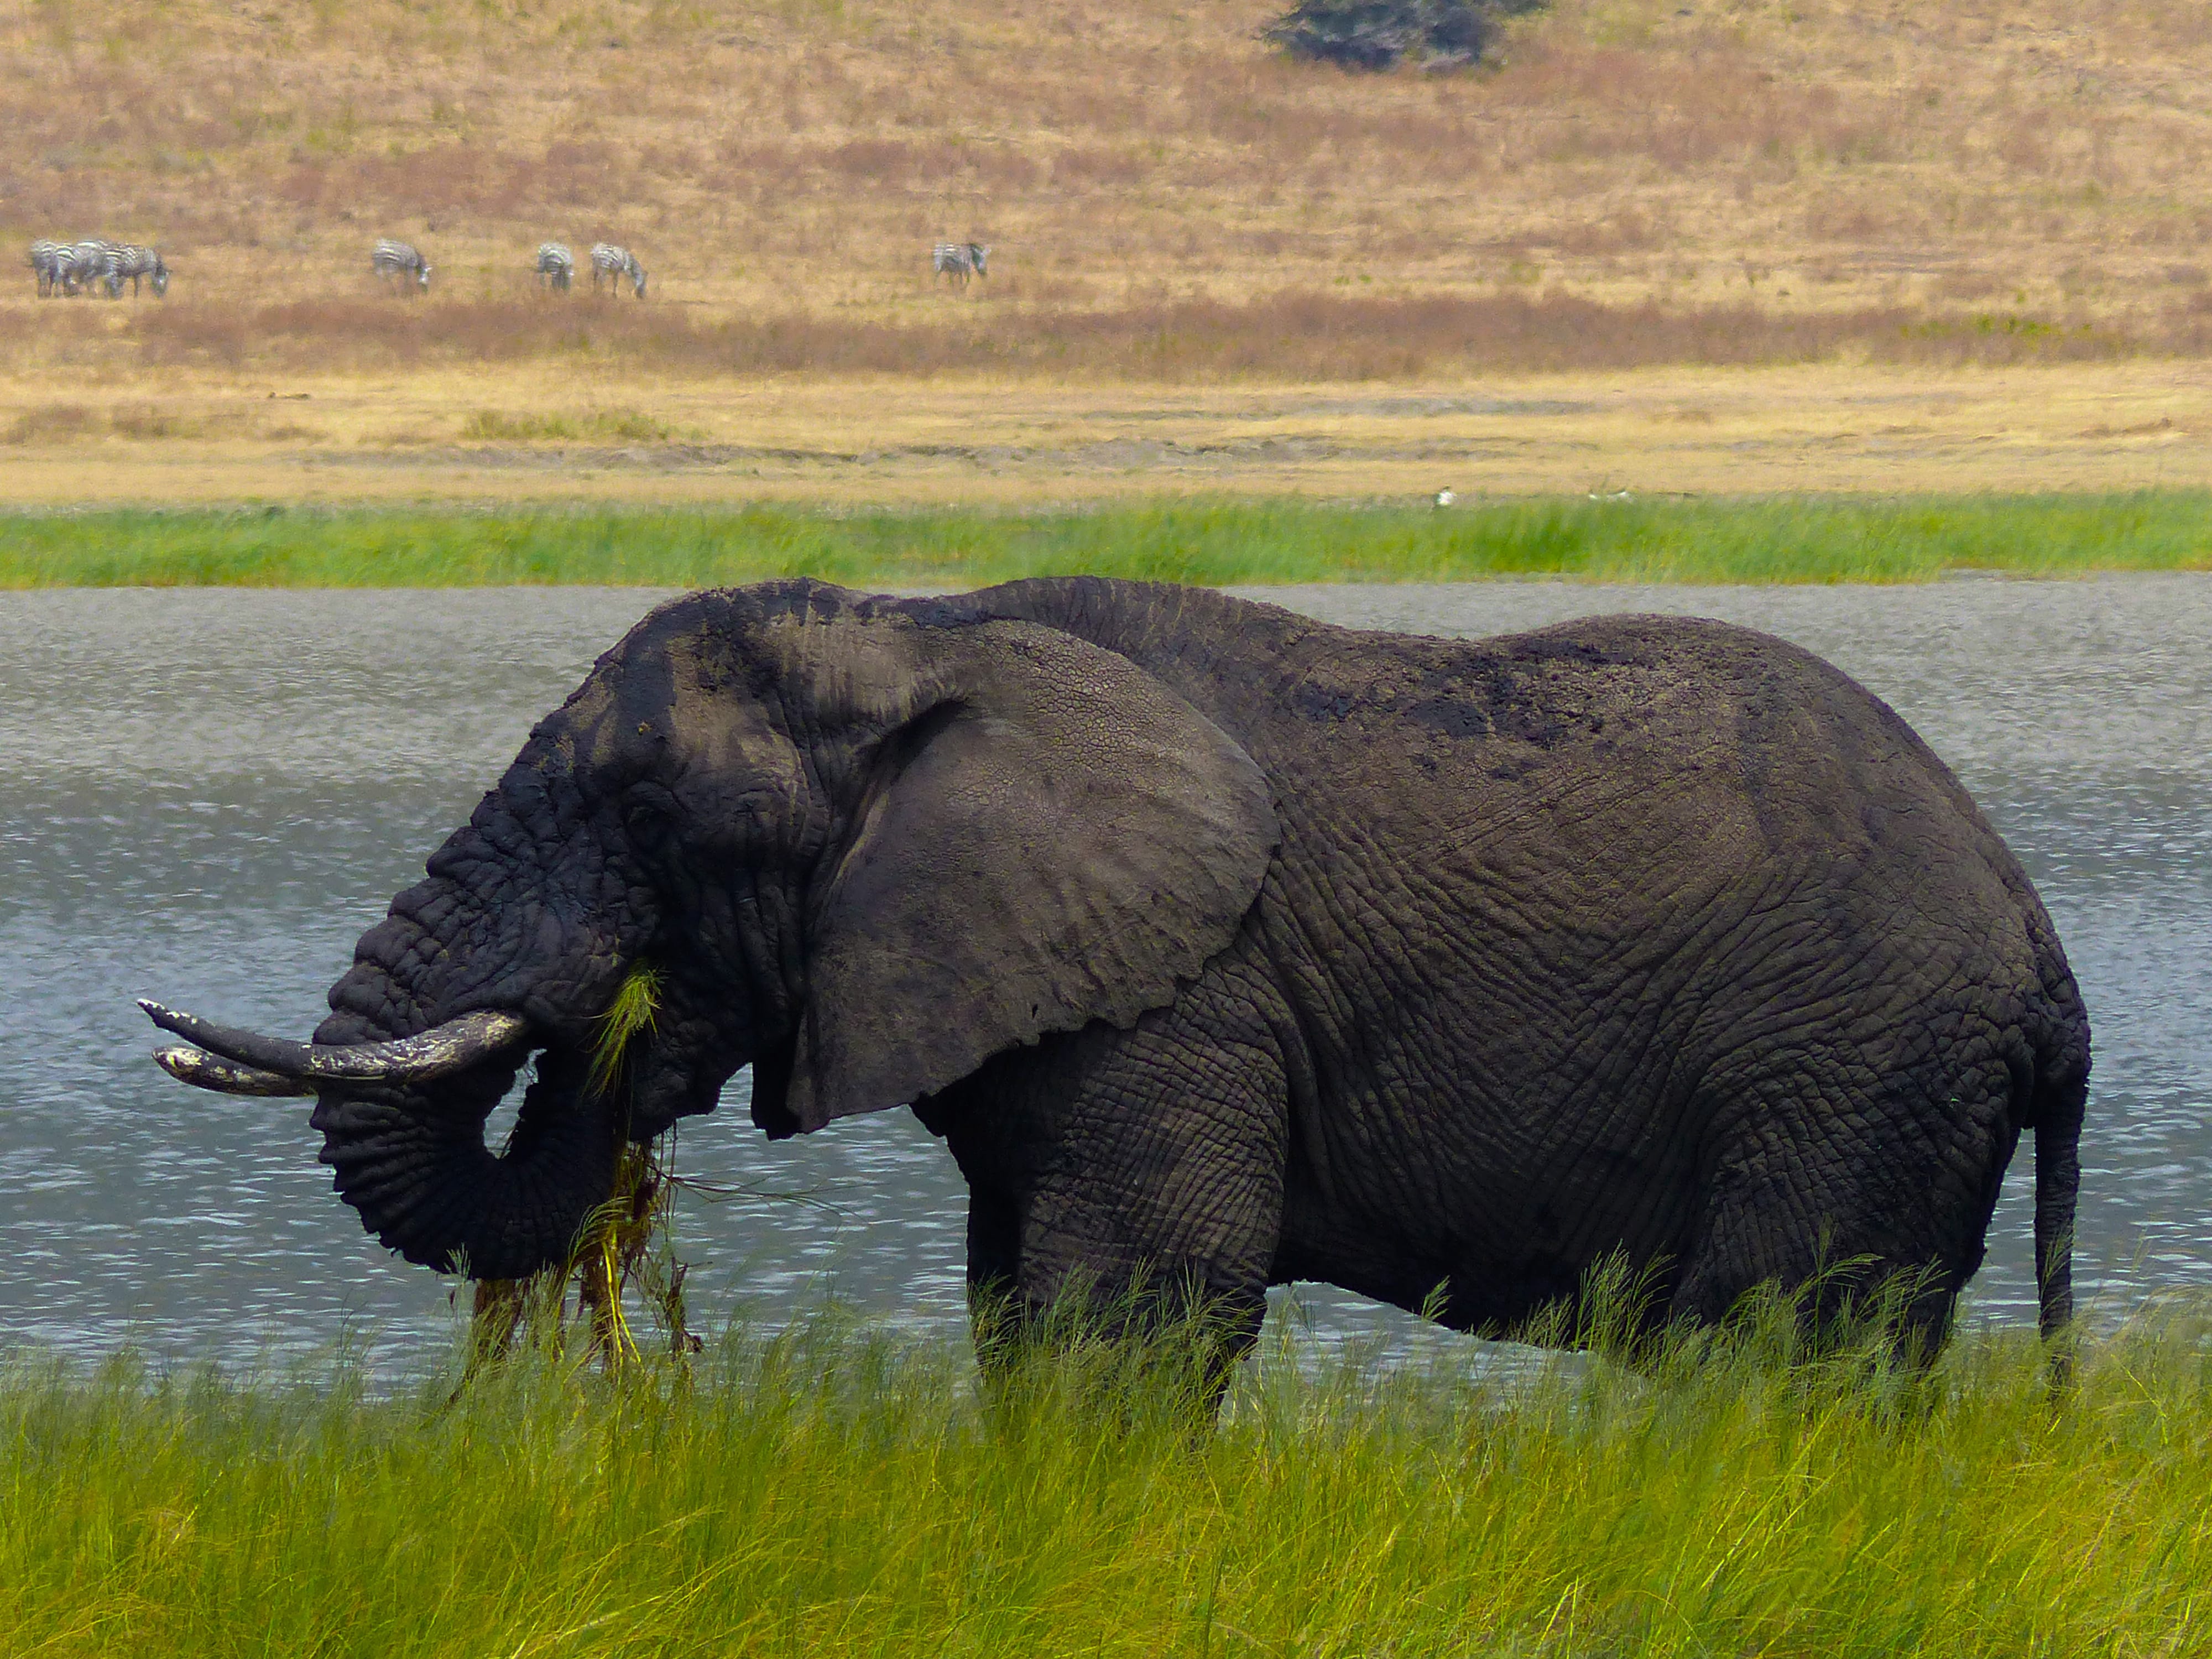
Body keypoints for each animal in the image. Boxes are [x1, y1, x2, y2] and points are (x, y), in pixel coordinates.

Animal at [143, 580, 2088, 1380]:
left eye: (645, 818)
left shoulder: (1187, 991)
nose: (601, 1024)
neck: (919, 627)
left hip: (1843, 1068)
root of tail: (2041, 942)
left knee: (1775, 1353)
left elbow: (1133, 1308)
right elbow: (1016, 1308)